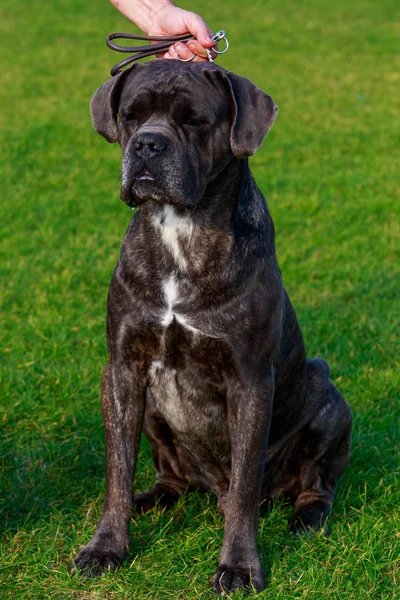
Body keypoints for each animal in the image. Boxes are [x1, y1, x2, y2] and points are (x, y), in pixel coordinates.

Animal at [71, 58, 350, 592]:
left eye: (194, 120)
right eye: (131, 116)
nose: (148, 145)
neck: (182, 228)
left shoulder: (250, 381)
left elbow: (244, 483)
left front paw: (239, 566)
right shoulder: (122, 370)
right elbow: (117, 470)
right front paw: (106, 546)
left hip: (328, 397)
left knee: (315, 483)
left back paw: (305, 520)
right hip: (156, 413)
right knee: (170, 479)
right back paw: (148, 503)